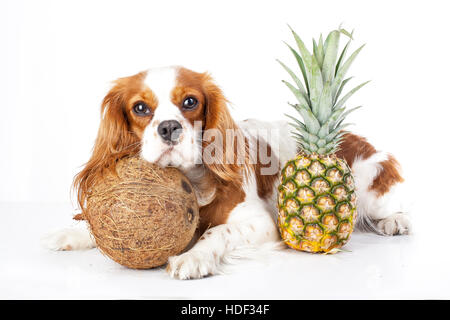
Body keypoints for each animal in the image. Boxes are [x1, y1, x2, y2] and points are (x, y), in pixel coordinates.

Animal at [43, 66, 412, 278]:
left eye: (190, 102)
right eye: (140, 107)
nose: (169, 128)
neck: (192, 180)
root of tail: (347, 136)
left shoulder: (264, 223)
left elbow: (216, 232)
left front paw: (193, 258)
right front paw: (73, 234)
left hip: (369, 178)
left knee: (391, 206)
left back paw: (395, 221)